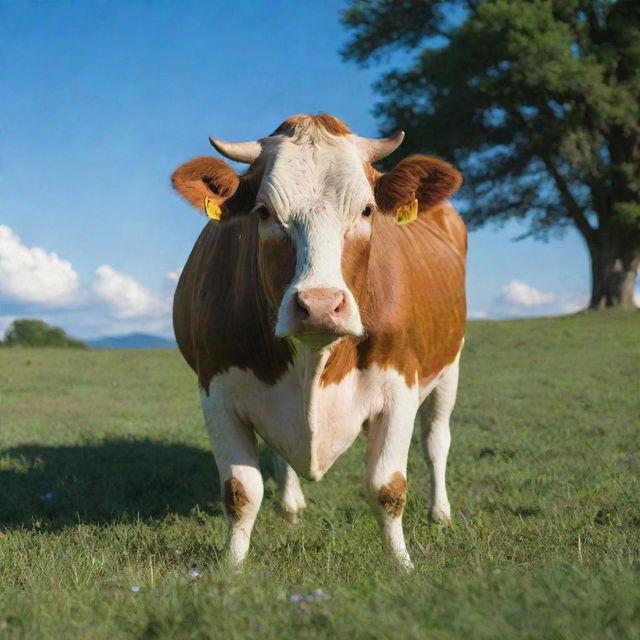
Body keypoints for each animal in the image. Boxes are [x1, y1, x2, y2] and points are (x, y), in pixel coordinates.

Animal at [172, 115, 468, 568]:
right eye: (264, 211)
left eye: (366, 209)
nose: (320, 305)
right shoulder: (216, 390)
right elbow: (241, 492)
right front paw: (231, 567)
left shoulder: (400, 384)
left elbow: (388, 488)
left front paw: (402, 564)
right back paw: (291, 504)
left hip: (450, 365)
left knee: (436, 442)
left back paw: (441, 513)